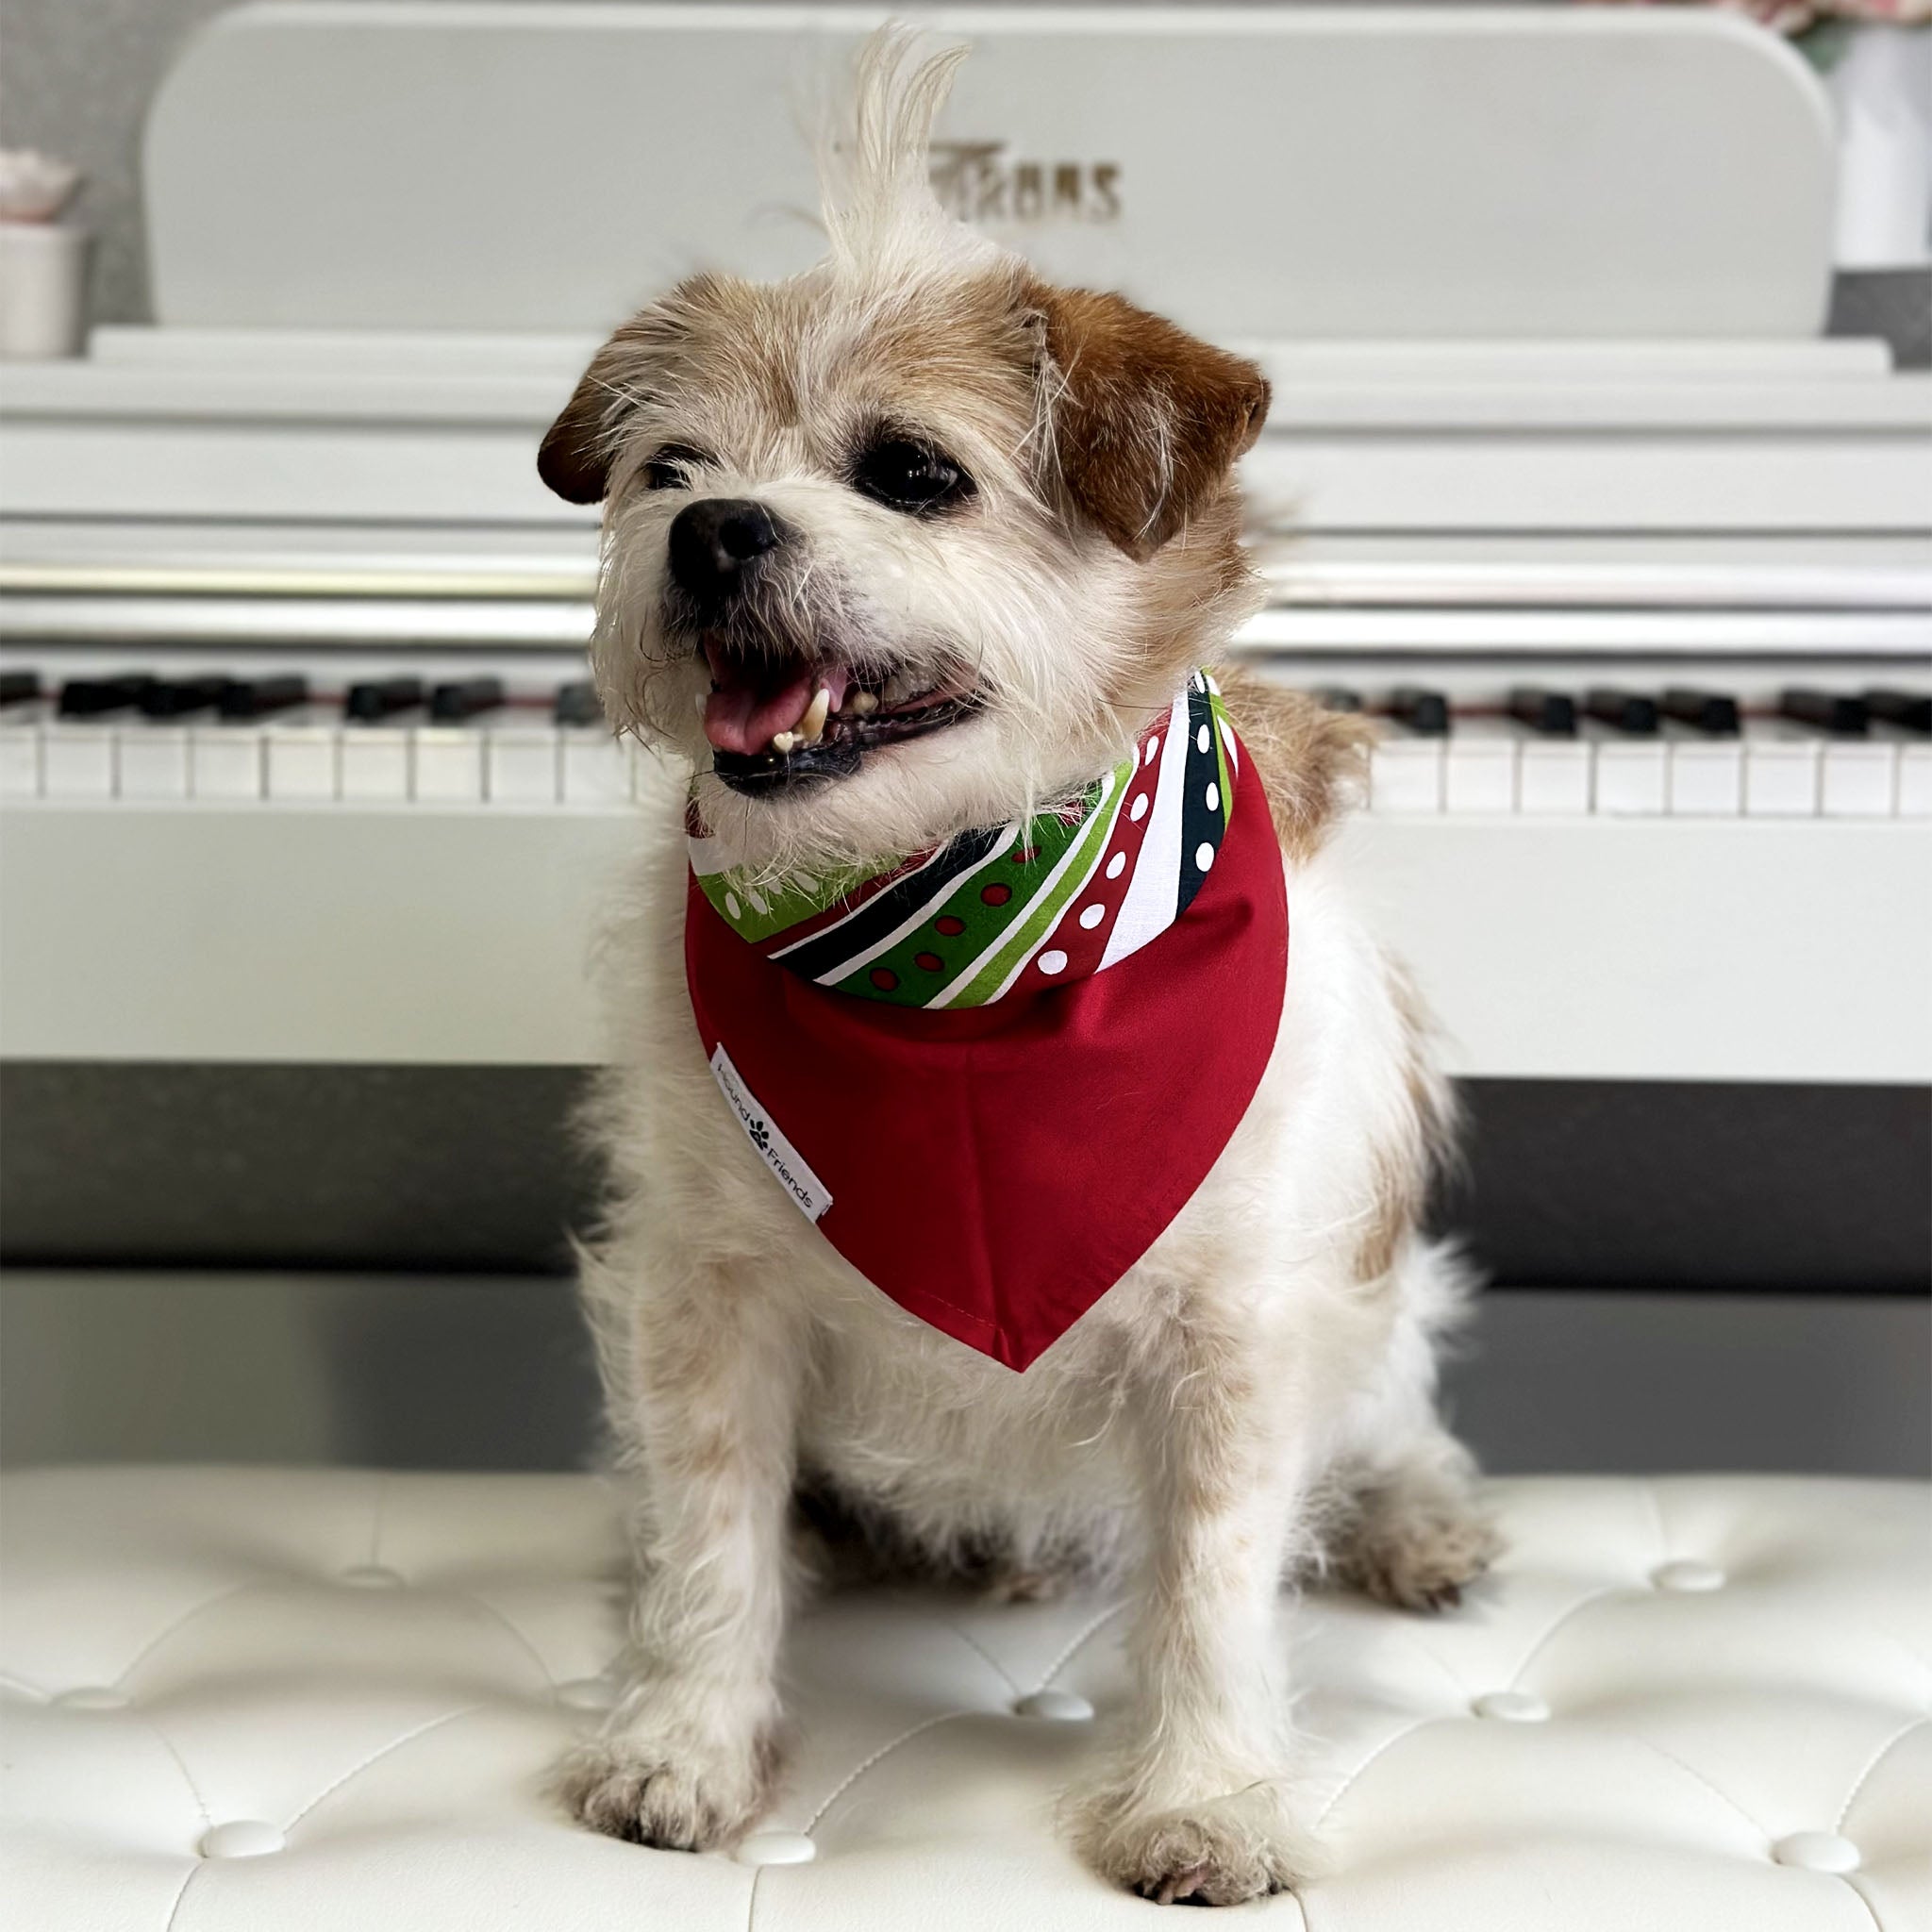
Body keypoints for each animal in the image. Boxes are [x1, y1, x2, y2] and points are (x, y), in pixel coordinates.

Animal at [537, 37, 1499, 1908]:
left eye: (913, 471)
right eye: (668, 466)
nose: (712, 533)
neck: (952, 958)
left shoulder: (1236, 1334)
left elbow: (1212, 1581)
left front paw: (1206, 1797)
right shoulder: (704, 1294)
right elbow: (709, 1533)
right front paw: (685, 1739)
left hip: (1375, 1309)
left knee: (1399, 1411)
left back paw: (1419, 1522)